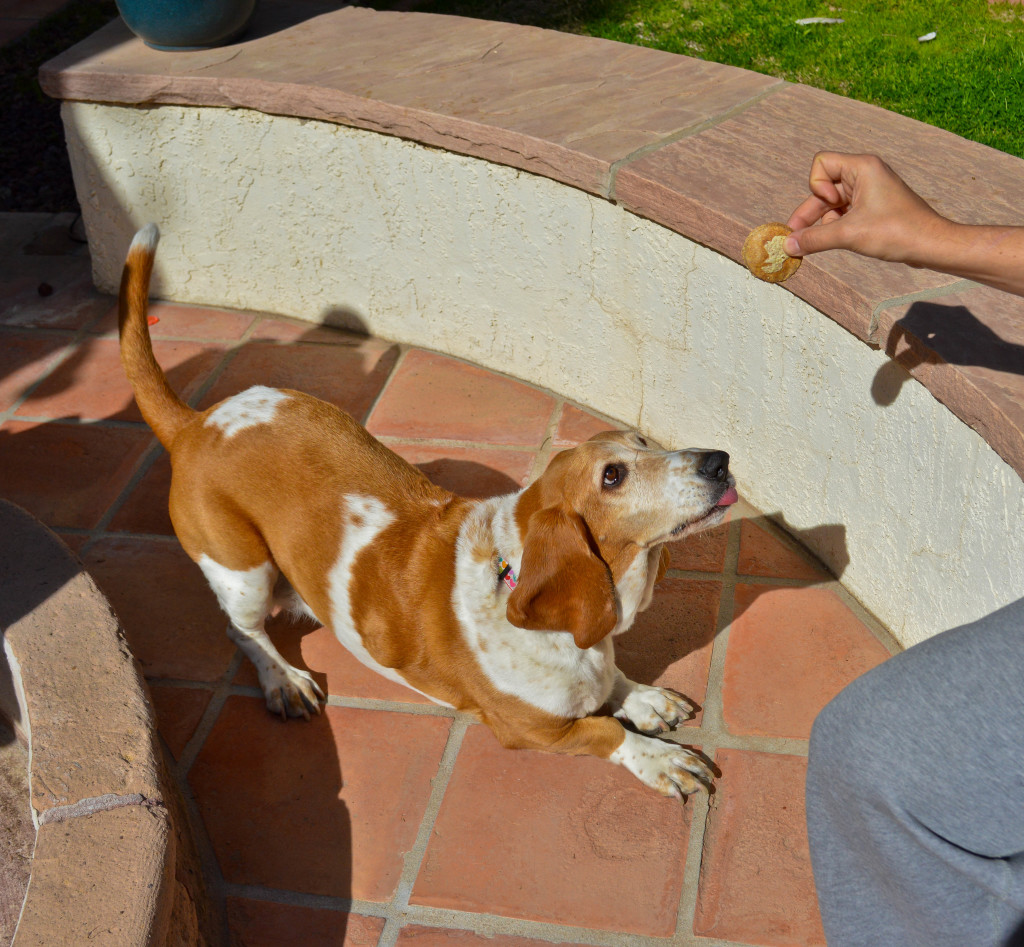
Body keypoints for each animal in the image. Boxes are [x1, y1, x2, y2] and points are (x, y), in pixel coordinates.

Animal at [119, 227, 737, 798]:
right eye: (612, 476)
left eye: (644, 441)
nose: (720, 460)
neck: (517, 576)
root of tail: (196, 423)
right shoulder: (533, 729)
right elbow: (608, 732)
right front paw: (661, 758)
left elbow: (616, 683)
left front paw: (646, 699)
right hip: (243, 572)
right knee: (243, 631)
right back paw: (284, 680)